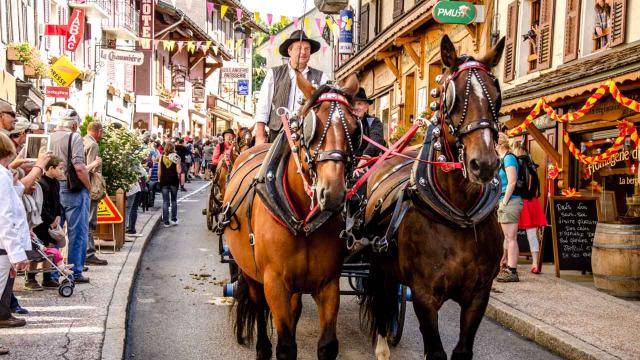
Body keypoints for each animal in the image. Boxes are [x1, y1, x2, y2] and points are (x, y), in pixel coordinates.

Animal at [220, 72, 362, 358]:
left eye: (355, 129)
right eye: (310, 127)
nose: (333, 193)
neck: (301, 219)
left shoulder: (328, 284)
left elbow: (328, 344)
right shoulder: (275, 284)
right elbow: (285, 346)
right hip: (250, 272)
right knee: (258, 305)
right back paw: (262, 348)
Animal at [360, 34, 504, 360]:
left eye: (496, 94)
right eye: (451, 98)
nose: (484, 164)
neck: (460, 213)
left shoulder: (479, 296)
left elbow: (462, 351)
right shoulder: (424, 295)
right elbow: (435, 351)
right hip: (380, 266)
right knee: (382, 301)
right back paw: (382, 345)